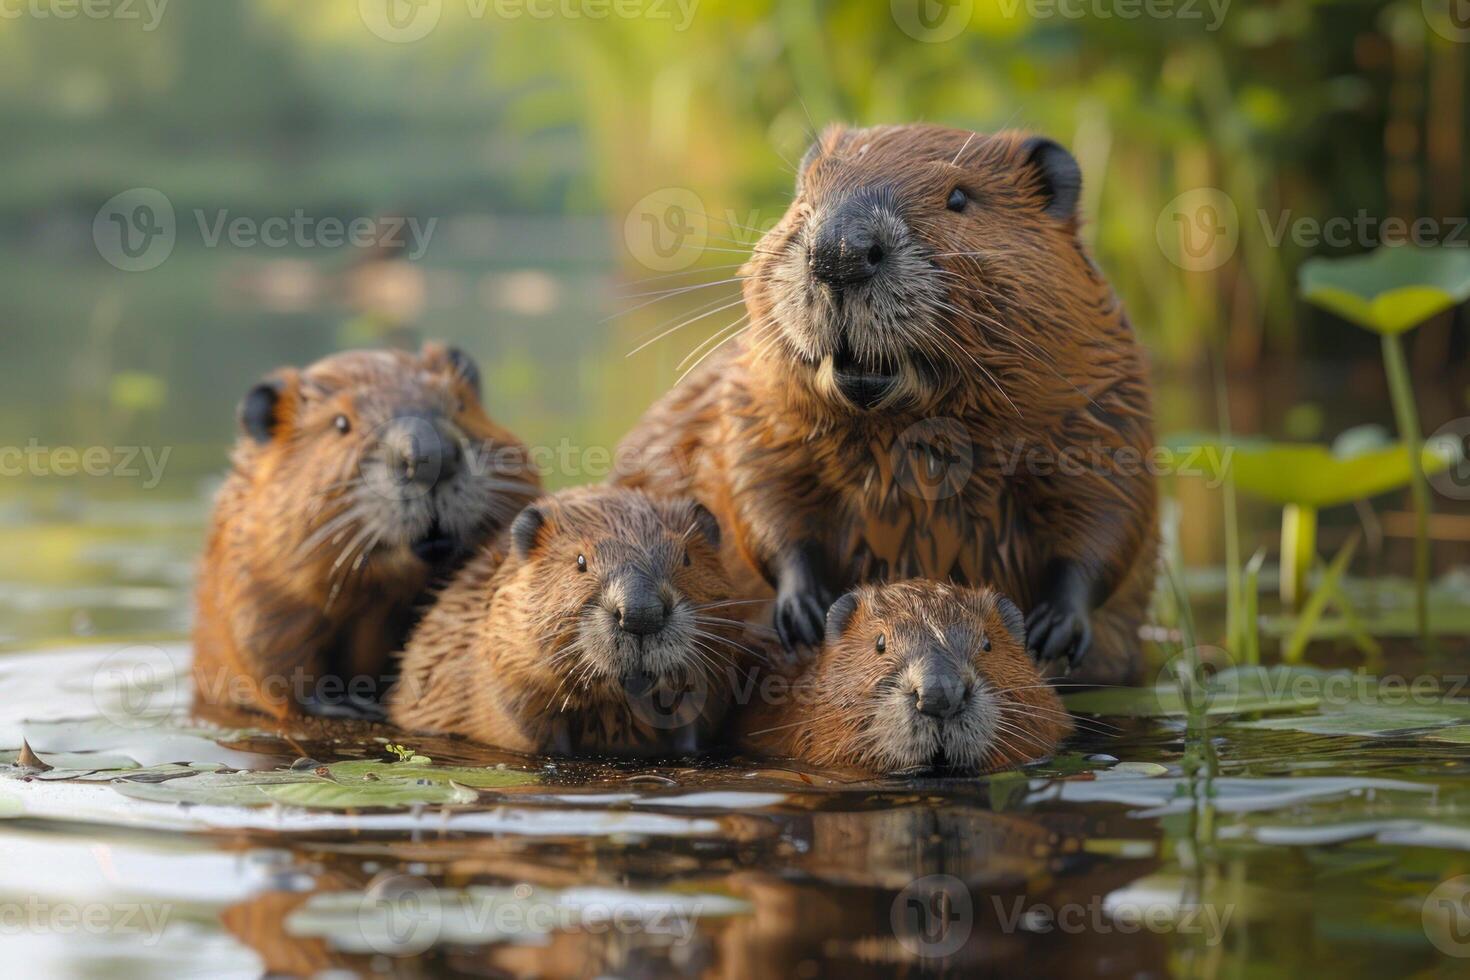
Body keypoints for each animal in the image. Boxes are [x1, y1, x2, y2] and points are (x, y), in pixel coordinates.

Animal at [192, 345, 540, 719]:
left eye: (460, 404)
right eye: (341, 423)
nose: (430, 454)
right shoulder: (253, 572)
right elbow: (268, 646)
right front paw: (347, 703)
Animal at [614, 126, 1152, 687]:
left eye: (958, 198)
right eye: (806, 193)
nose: (838, 251)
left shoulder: (1104, 396)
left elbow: (1110, 508)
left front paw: (1054, 632)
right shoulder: (757, 404)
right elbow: (761, 495)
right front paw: (803, 613)